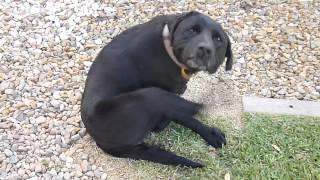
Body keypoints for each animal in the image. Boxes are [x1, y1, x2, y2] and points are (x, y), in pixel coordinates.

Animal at [80, 11, 232, 168]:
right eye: (192, 30)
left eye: (218, 39)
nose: (205, 49)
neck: (167, 46)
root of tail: (102, 143)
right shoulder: (169, 97)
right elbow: (184, 116)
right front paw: (209, 132)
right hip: (149, 95)